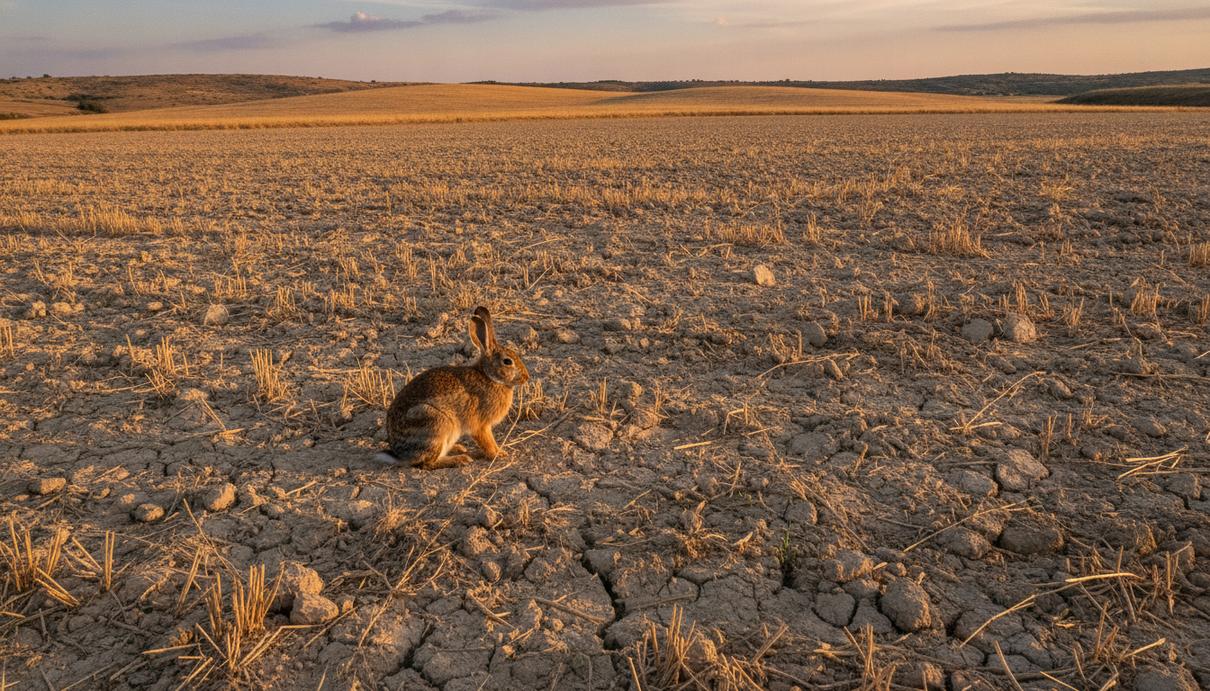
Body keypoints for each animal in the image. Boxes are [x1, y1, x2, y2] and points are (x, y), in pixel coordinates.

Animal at [375, 306, 530, 469]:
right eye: (507, 361)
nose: (526, 377)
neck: (489, 376)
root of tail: (401, 455)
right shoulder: (481, 425)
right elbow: (487, 442)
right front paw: (498, 454)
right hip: (434, 424)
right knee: (427, 463)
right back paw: (460, 459)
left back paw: (458, 448)